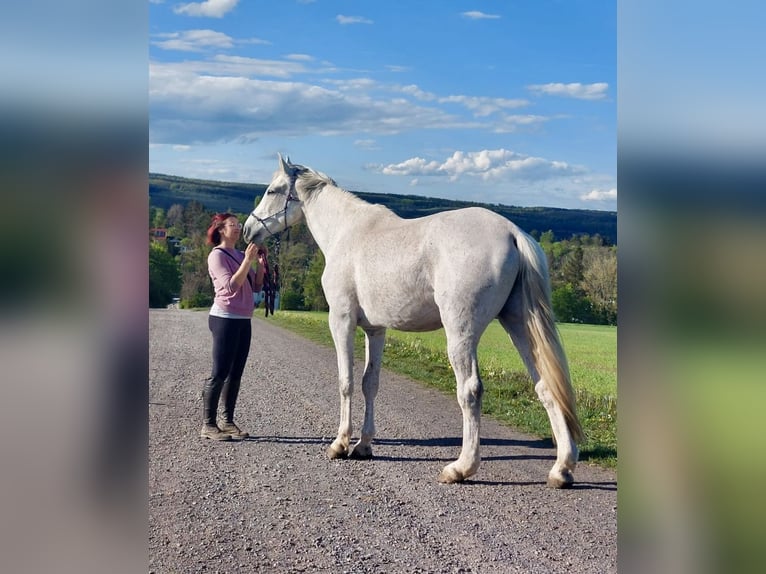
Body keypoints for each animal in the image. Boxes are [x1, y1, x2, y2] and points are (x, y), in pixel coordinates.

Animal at [243, 154, 584, 487]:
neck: (346, 232)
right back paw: (561, 469)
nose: (248, 230)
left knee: (470, 390)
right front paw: (363, 445)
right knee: (547, 386)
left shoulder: (341, 320)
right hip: (519, 324)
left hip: (461, 332)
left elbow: (346, 382)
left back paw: (461, 467)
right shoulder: (375, 330)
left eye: (272, 190)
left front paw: (340, 444)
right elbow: (369, 383)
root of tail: (513, 233)